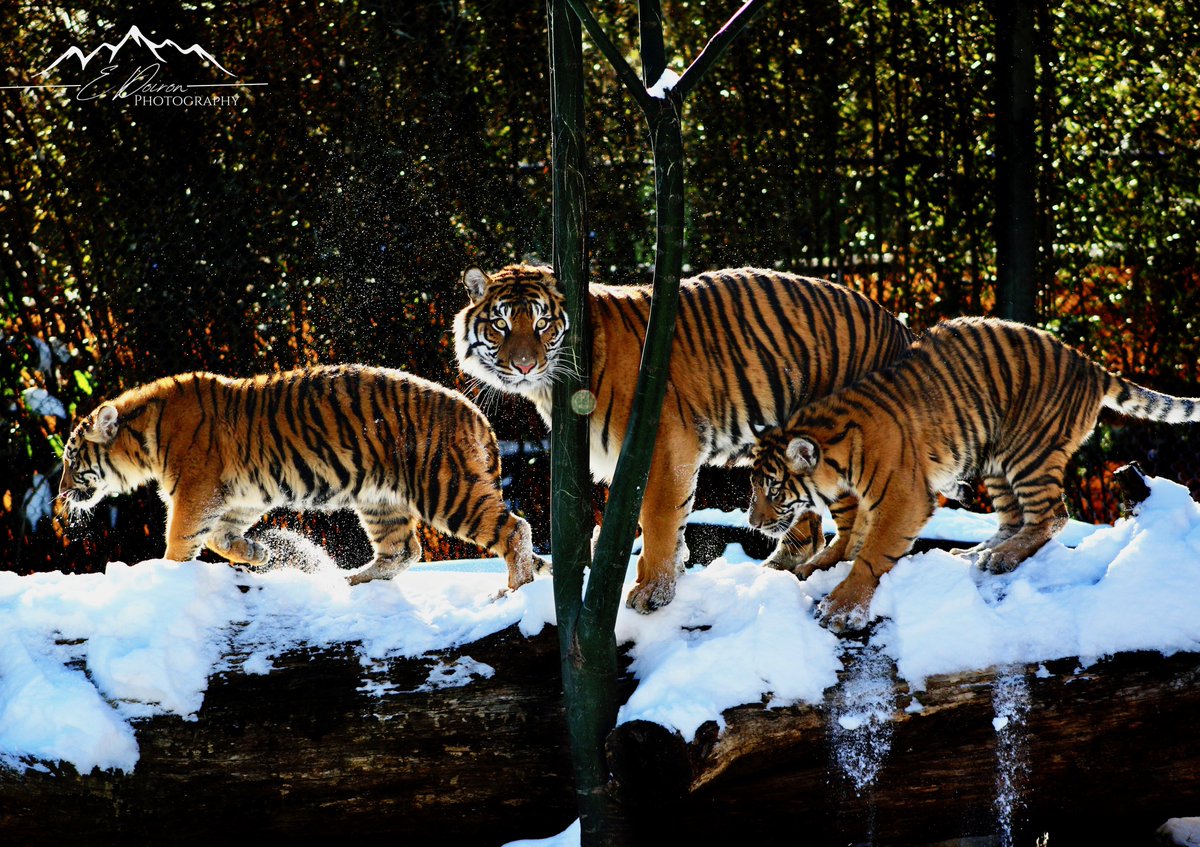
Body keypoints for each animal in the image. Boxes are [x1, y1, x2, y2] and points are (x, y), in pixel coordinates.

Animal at [58, 364, 547, 590]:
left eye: (70, 459)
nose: (59, 495)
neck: (143, 439)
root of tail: (480, 416)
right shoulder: (238, 496)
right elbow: (218, 536)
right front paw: (255, 552)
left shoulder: (196, 493)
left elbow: (181, 539)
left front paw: (166, 577)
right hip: (381, 500)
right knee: (404, 551)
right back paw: (351, 580)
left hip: (444, 487)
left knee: (515, 529)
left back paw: (511, 591)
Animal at [454, 263, 915, 612]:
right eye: (500, 325)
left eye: (542, 323)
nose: (525, 365)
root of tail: (900, 328)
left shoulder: (663, 442)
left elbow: (658, 517)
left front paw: (651, 592)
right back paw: (777, 569)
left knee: (855, 523)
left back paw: (824, 572)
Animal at [749, 315, 1200, 632]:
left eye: (773, 488)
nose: (752, 521)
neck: (835, 454)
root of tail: (1089, 364)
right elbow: (853, 539)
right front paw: (817, 567)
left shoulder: (902, 497)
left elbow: (872, 553)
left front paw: (842, 607)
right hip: (996, 459)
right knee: (1014, 519)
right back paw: (974, 553)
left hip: (1028, 451)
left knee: (1052, 515)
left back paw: (1001, 557)